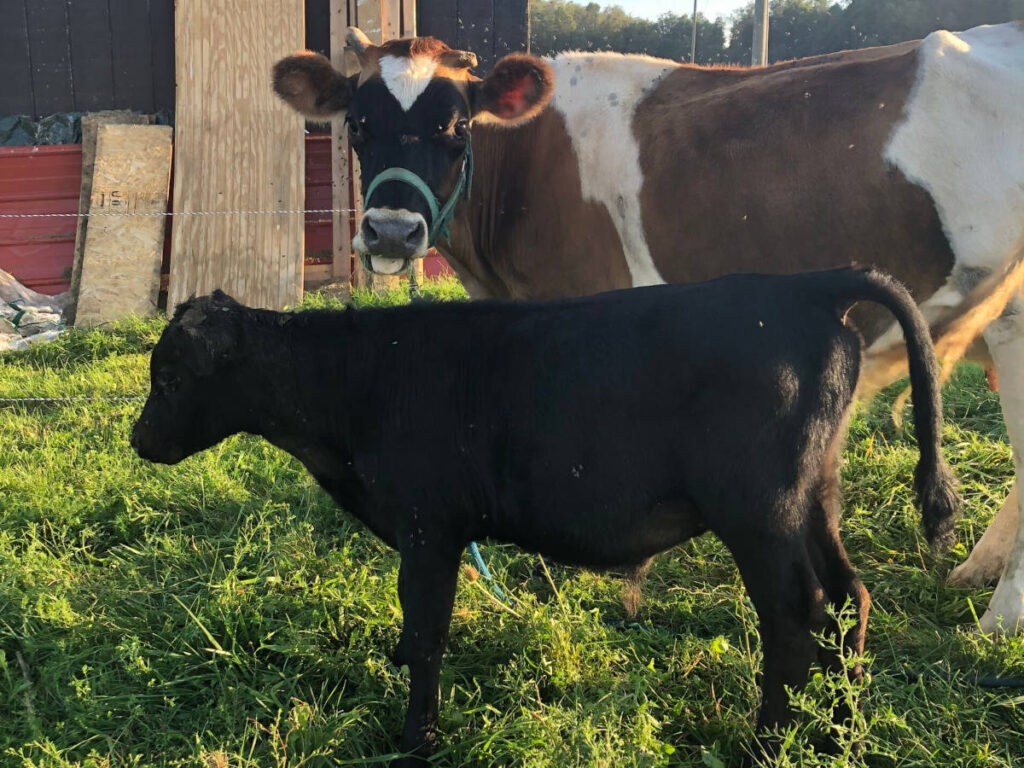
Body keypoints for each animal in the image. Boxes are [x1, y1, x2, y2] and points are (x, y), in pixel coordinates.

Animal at [131, 267, 961, 765]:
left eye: (169, 376)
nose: (138, 440)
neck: (356, 382)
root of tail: (803, 283)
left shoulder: (429, 528)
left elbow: (424, 637)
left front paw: (416, 742)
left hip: (760, 511)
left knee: (797, 617)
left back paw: (766, 746)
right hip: (815, 496)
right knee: (849, 600)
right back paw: (839, 735)